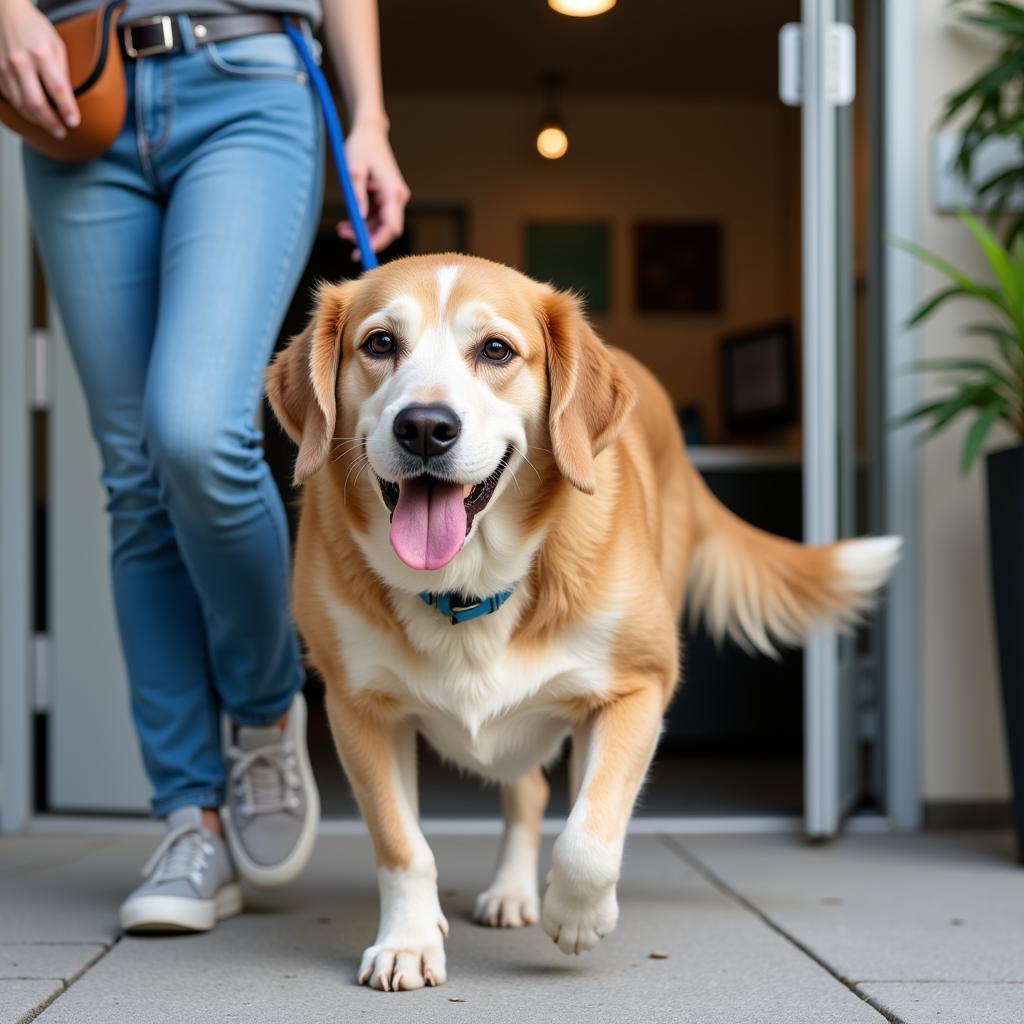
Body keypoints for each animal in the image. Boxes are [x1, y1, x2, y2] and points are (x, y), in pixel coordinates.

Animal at [268, 253, 901, 991]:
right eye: (379, 343)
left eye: (495, 350)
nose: (425, 425)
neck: (467, 589)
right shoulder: (358, 709)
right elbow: (403, 845)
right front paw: (408, 941)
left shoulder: (638, 689)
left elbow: (589, 835)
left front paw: (576, 916)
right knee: (528, 791)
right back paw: (510, 890)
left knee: (569, 798)